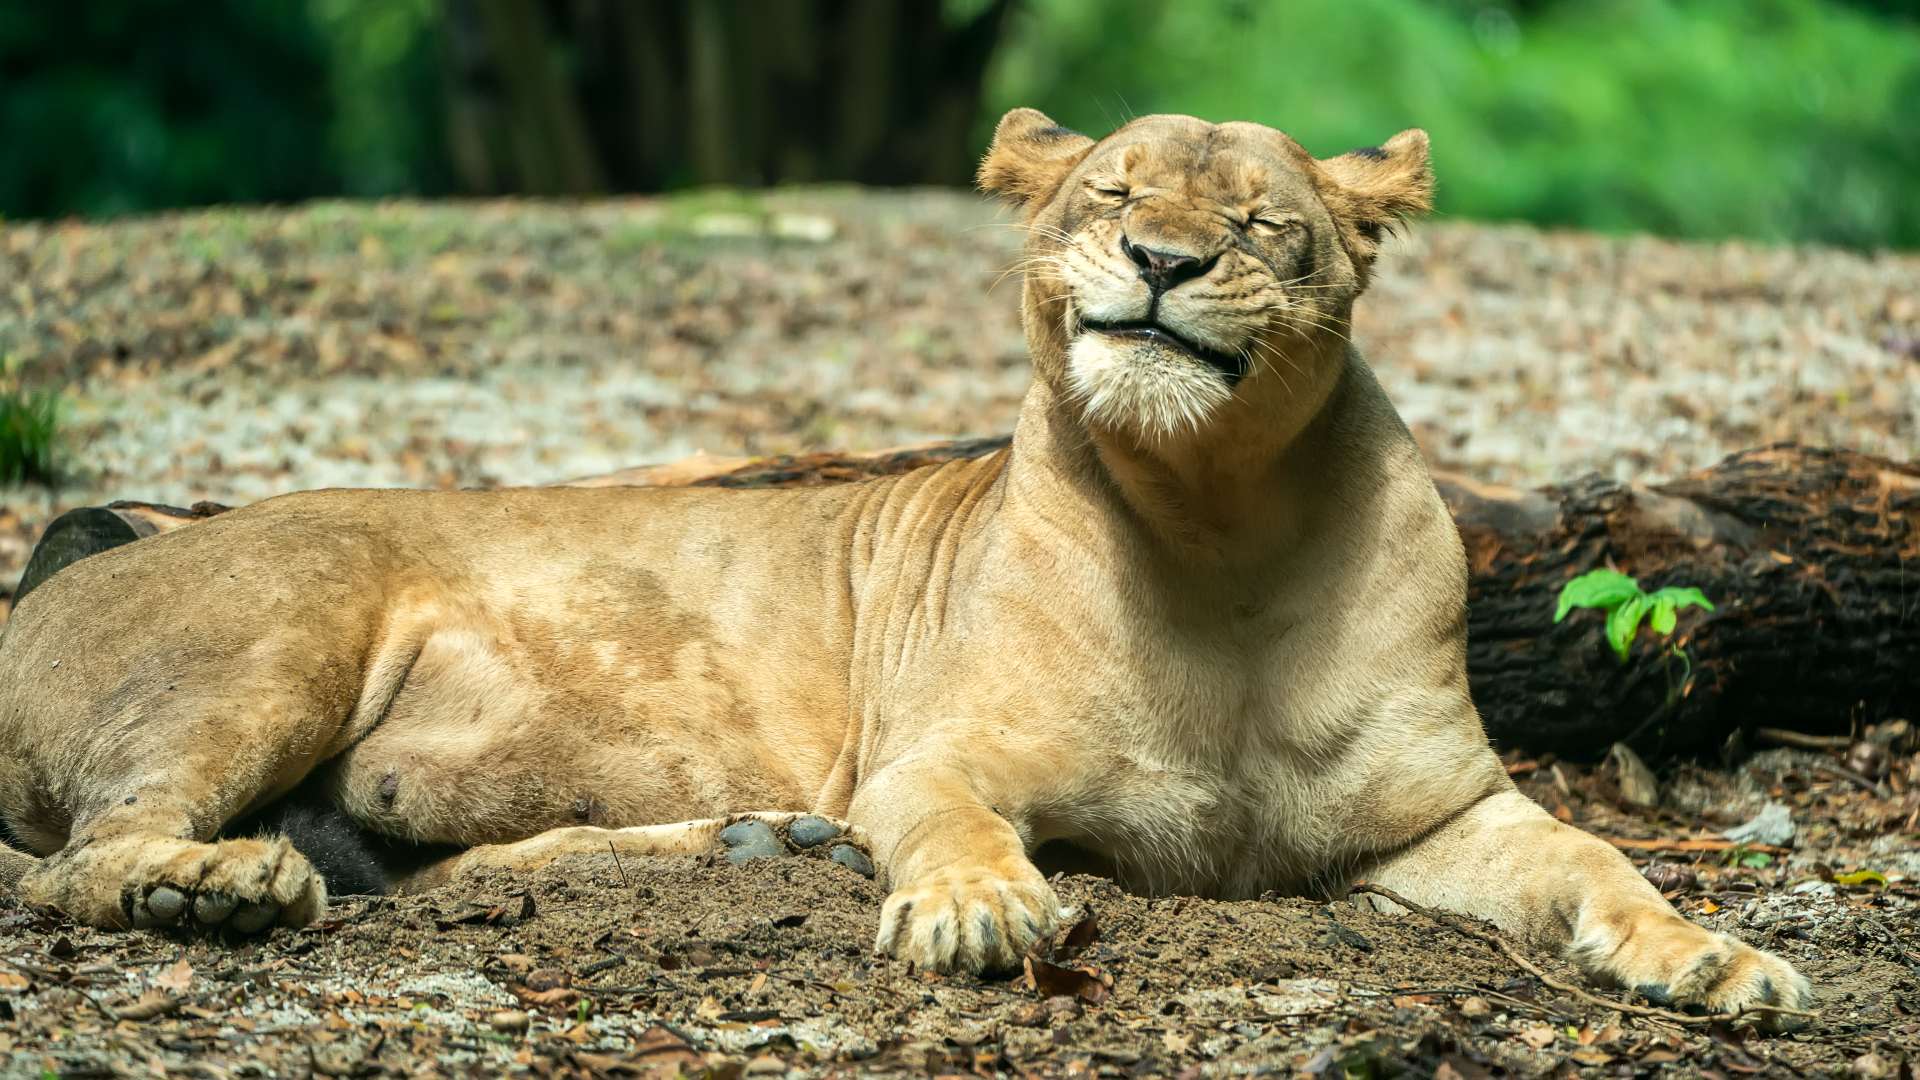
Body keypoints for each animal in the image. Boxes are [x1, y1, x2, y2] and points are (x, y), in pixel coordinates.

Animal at [0, 109, 1810, 1027]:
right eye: (1111, 193)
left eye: (1259, 226)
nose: (1161, 260)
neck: (1217, 526)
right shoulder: (934, 756)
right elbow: (947, 826)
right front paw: (977, 915)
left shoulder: (1443, 814)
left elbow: (1600, 861)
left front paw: (1716, 961)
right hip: (281, 632)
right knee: (81, 858)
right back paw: (209, 889)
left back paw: (749, 841)